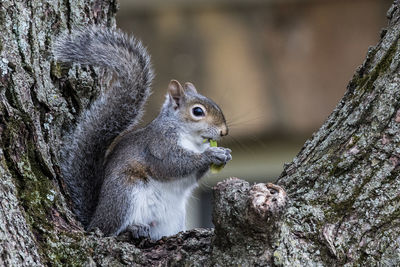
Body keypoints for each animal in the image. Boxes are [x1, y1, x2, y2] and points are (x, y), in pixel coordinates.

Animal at [54, 27, 233, 241]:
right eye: (197, 111)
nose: (224, 131)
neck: (192, 139)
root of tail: (95, 220)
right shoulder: (158, 145)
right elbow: (173, 164)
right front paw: (210, 154)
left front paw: (225, 153)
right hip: (124, 195)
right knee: (111, 231)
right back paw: (133, 228)